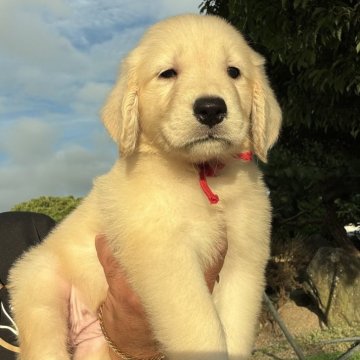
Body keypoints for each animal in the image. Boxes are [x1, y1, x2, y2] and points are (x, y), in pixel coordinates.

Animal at [8, 14, 280, 360]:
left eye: (233, 71)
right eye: (168, 73)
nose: (211, 108)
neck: (201, 174)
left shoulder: (244, 262)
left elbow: (234, 328)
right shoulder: (166, 256)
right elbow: (201, 328)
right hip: (38, 288)